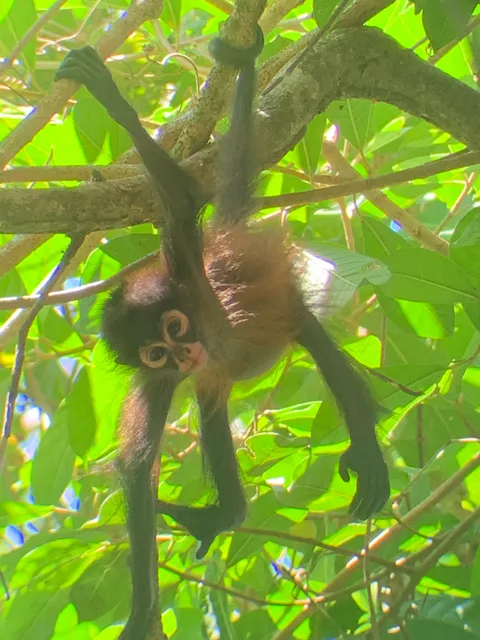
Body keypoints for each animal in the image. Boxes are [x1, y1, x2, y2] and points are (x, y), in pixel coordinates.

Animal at [55, 27, 389, 640]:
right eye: (155, 352)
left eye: (175, 325)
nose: (183, 351)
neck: (205, 323)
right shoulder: (158, 381)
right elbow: (136, 467)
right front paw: (142, 608)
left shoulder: (187, 272)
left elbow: (184, 201)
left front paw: (109, 95)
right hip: (214, 380)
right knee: (211, 406)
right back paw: (223, 515)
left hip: (288, 310)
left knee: (319, 350)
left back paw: (369, 455)